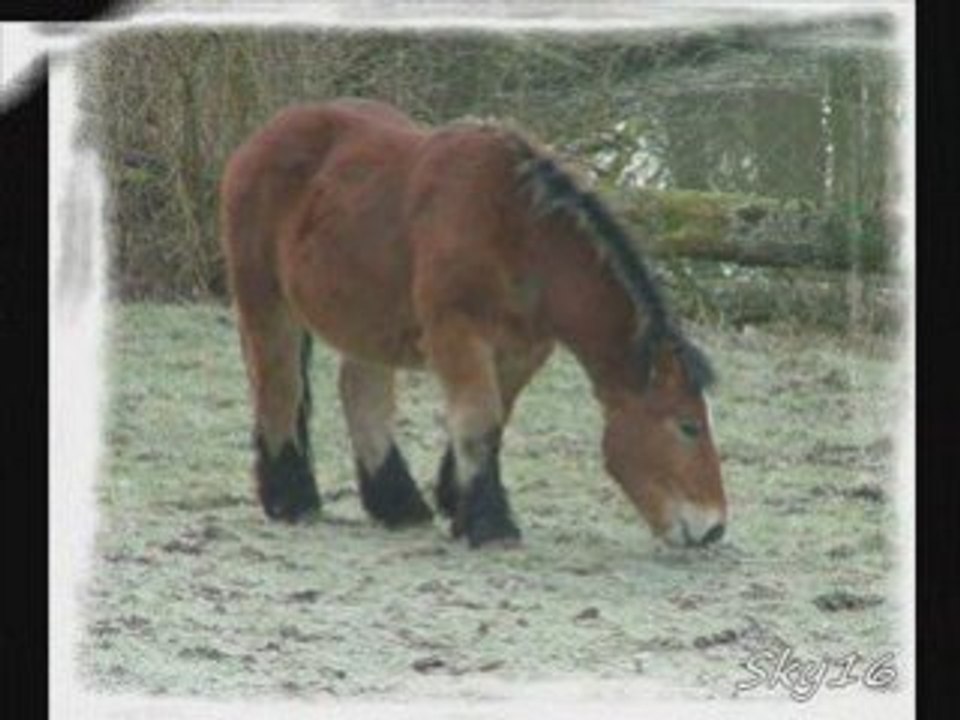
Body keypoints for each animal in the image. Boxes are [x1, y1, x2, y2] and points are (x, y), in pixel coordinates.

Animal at [219, 98, 727, 549]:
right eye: (688, 427)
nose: (714, 528)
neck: (521, 235)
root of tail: (260, 139)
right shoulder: (458, 334)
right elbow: (480, 420)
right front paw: (491, 525)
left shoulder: (524, 350)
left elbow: (494, 422)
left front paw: (458, 503)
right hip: (266, 302)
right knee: (279, 388)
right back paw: (292, 500)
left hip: (366, 318)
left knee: (359, 393)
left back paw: (397, 505)